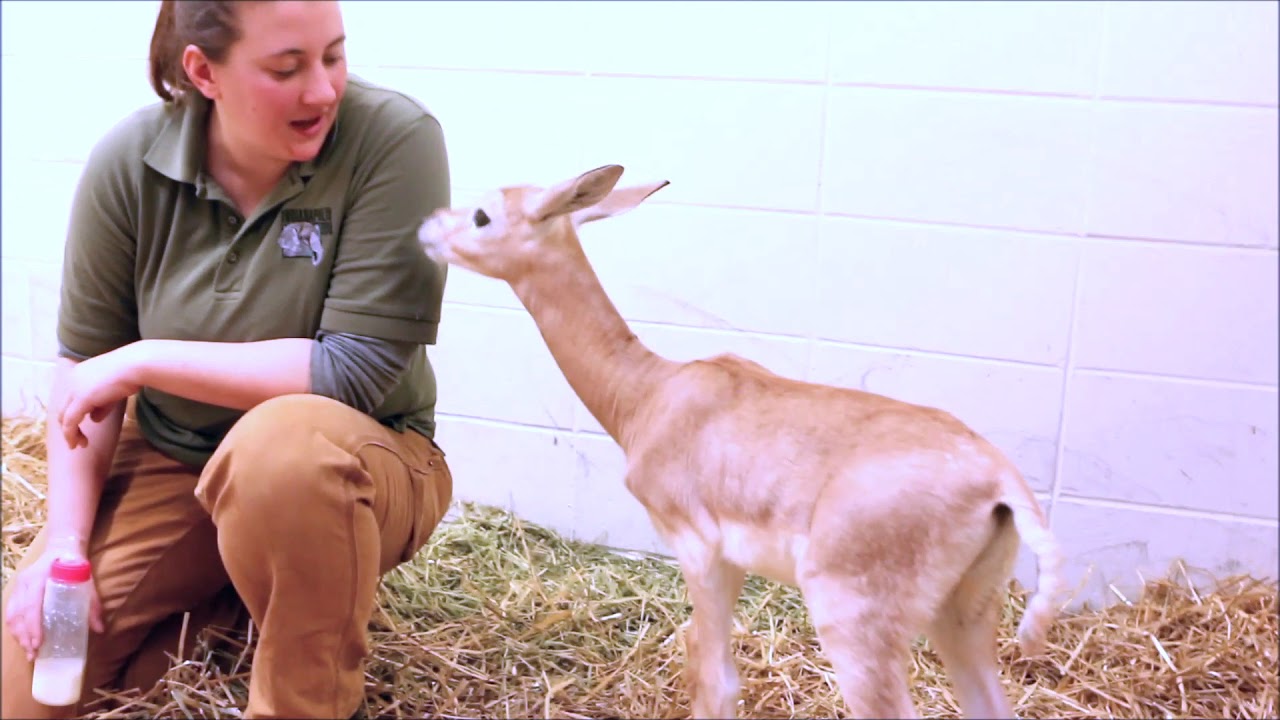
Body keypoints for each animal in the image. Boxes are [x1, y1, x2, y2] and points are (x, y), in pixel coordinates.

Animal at [417, 165, 1066, 719]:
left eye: (483, 215)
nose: (426, 227)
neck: (650, 393)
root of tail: (998, 481)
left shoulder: (700, 552)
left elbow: (717, 682)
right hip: (964, 615)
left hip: (857, 626)